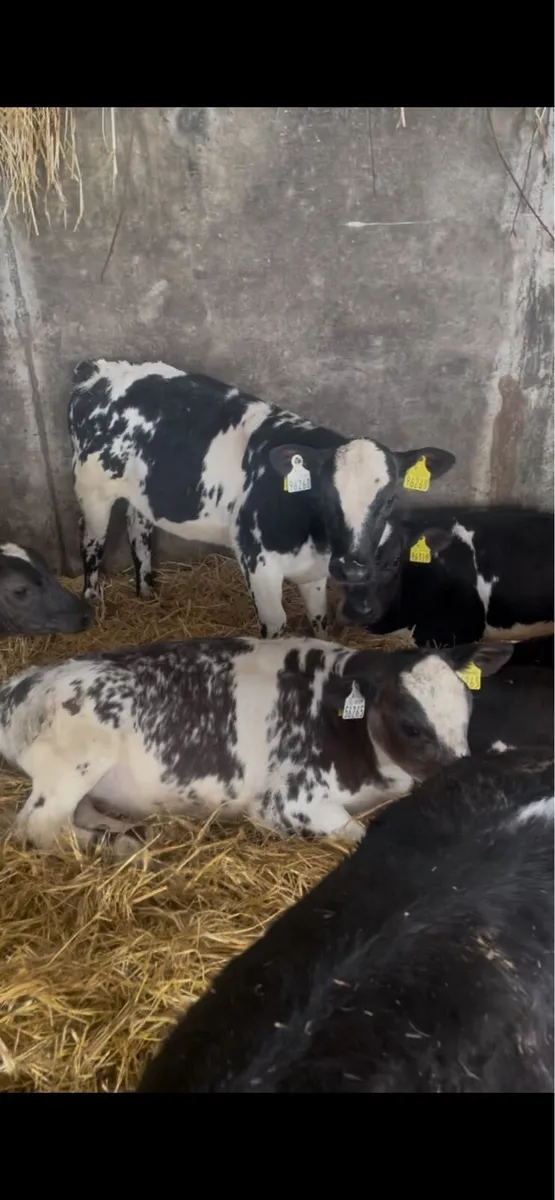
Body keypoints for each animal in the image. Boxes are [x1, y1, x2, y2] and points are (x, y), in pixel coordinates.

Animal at [1, 634, 511, 856]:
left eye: (468, 706)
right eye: (411, 725)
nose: (466, 774)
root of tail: (23, 681)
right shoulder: (288, 799)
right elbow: (356, 831)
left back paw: (120, 833)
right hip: (78, 758)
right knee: (39, 826)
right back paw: (113, 846)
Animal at [68, 358, 456, 638]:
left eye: (389, 499)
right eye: (324, 495)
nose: (352, 568)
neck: (314, 538)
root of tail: (96, 368)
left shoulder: (314, 572)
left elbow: (320, 621)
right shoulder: (258, 562)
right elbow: (276, 626)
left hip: (141, 491)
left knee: (139, 531)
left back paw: (147, 593)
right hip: (92, 489)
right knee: (91, 545)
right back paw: (95, 605)